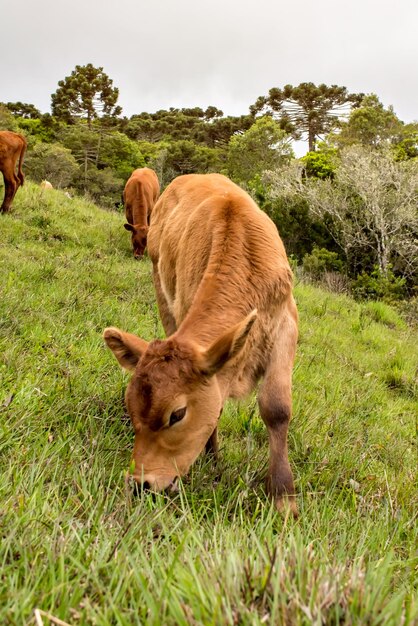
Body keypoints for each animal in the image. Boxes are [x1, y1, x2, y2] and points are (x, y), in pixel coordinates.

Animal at [104, 172, 300, 512]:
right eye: (130, 408)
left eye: (177, 414)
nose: (140, 484)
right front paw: (212, 457)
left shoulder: (286, 327)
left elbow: (276, 407)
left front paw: (283, 497)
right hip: (162, 289)